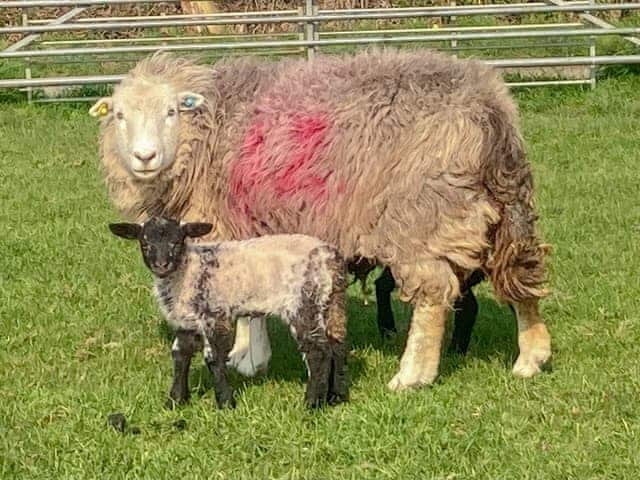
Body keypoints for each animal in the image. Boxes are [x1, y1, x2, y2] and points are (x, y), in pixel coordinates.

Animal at [110, 218, 350, 408]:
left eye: (177, 242)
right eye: (145, 243)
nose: (161, 265)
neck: (187, 270)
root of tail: (330, 258)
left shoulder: (214, 315)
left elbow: (214, 358)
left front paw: (225, 402)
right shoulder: (185, 322)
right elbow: (180, 354)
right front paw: (176, 400)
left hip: (303, 304)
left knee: (317, 352)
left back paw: (312, 403)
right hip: (332, 304)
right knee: (337, 346)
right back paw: (336, 396)